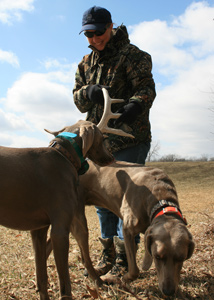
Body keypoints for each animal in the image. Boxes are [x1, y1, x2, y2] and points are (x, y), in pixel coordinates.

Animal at [0, 120, 117, 300]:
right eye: (103, 138)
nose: (112, 158)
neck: (64, 155)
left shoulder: (39, 230)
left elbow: (42, 278)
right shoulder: (60, 231)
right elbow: (65, 285)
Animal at [77, 161, 195, 296]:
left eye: (182, 258)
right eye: (157, 257)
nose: (168, 292)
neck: (161, 201)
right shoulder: (127, 229)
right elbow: (134, 270)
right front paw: (122, 279)